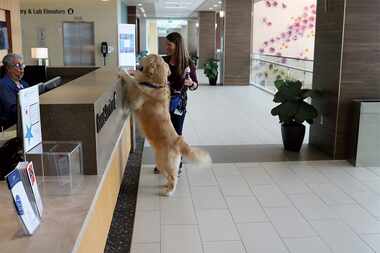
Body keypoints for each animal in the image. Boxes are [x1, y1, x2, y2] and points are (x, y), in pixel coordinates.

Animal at [119, 53, 211, 196]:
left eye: (147, 57)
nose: (142, 55)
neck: (156, 84)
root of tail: (179, 141)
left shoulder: (136, 98)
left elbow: (132, 82)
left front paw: (123, 71)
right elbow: (135, 80)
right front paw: (130, 71)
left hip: (164, 162)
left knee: (173, 177)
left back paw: (168, 192)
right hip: (161, 163)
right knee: (169, 176)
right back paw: (165, 186)